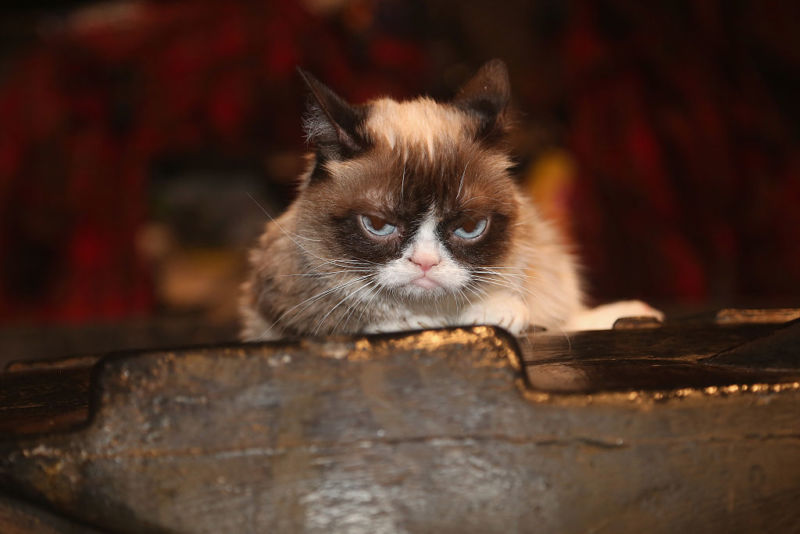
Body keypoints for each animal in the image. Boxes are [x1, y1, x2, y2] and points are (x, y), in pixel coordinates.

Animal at [239, 59, 664, 344]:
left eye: (470, 227)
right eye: (377, 226)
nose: (426, 264)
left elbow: (562, 315)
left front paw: (499, 309)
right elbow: (353, 322)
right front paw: (413, 324)